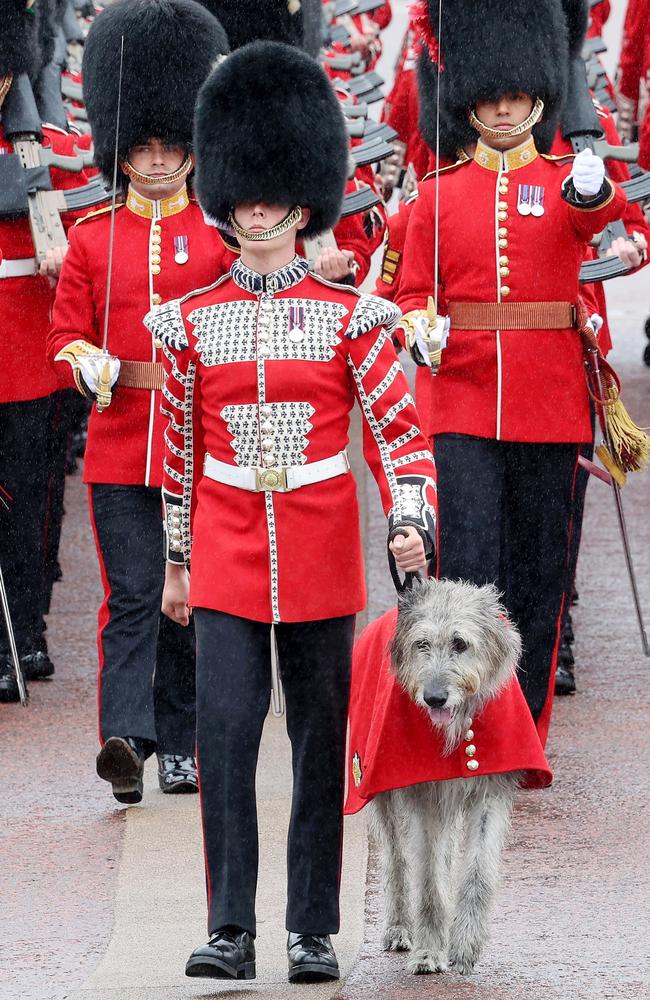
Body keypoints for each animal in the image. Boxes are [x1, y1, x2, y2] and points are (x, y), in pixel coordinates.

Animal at [368, 580, 524, 976]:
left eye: (460, 643)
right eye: (422, 644)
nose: (434, 698)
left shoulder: (490, 790)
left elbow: (477, 870)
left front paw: (466, 942)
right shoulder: (427, 798)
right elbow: (429, 880)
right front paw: (429, 951)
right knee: (397, 857)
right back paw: (399, 926)